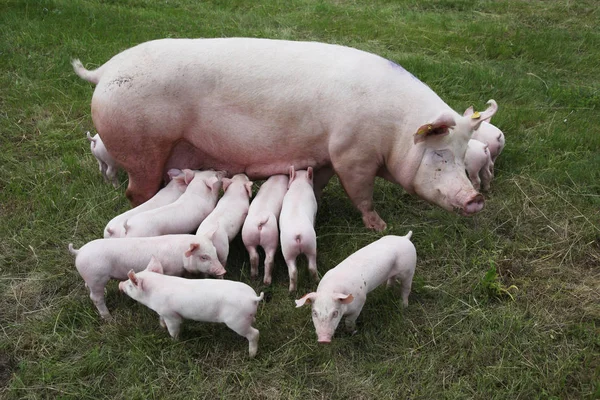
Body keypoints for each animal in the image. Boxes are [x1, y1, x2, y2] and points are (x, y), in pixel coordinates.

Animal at [72, 39, 496, 231]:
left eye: (463, 155)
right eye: (440, 155)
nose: (475, 198)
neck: (394, 131)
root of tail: (104, 71)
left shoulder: (325, 154)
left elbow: (321, 182)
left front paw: (317, 203)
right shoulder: (351, 153)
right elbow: (361, 192)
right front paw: (380, 227)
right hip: (143, 146)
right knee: (135, 192)